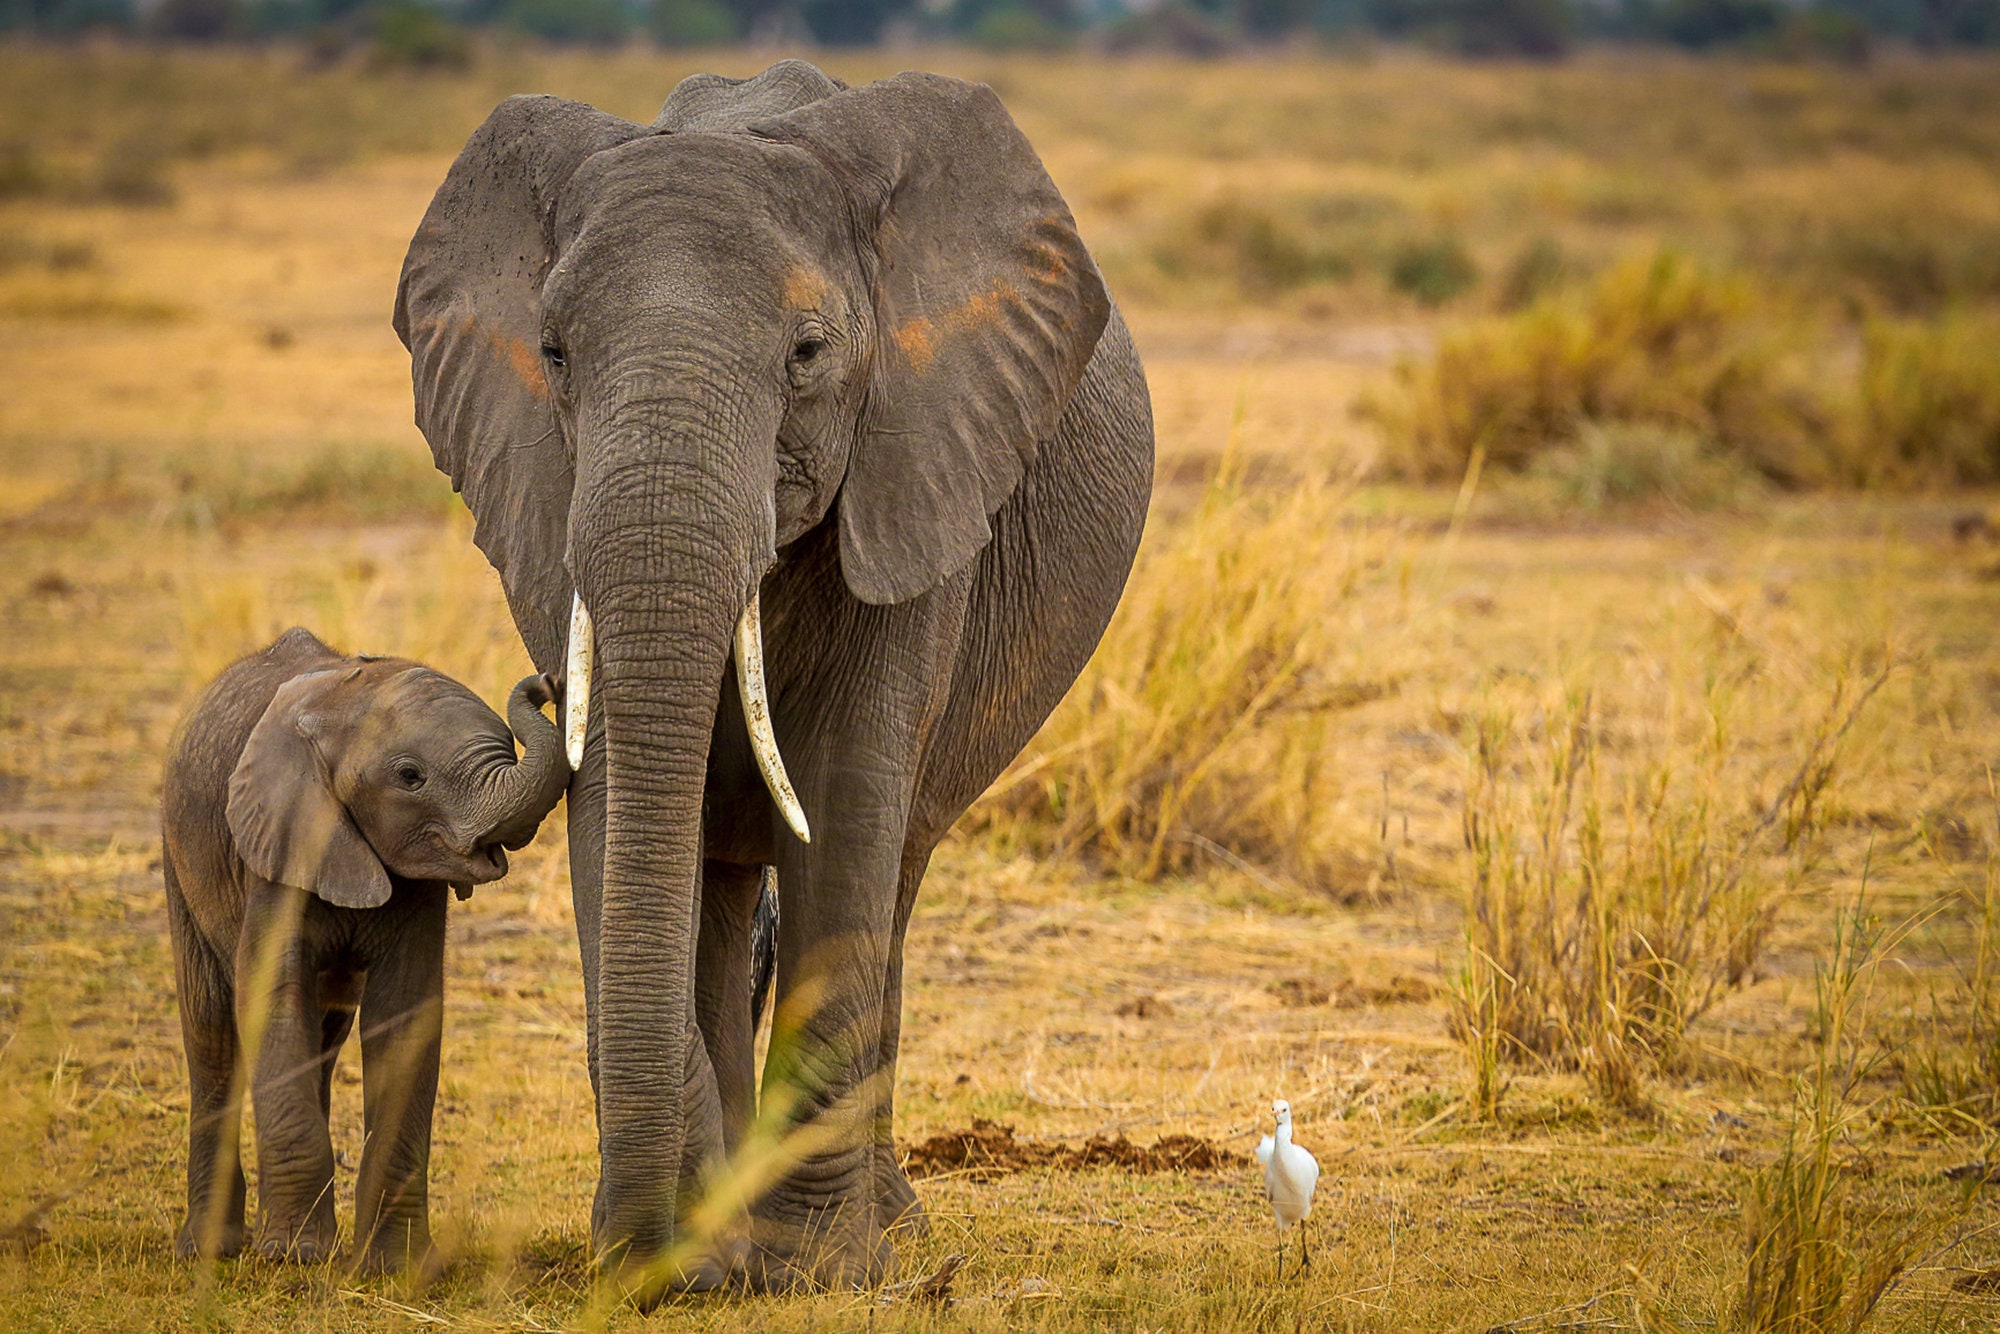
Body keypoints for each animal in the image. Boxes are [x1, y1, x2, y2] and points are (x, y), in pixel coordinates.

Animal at [161, 627, 568, 1271]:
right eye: (410, 776)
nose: (547, 682)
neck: (341, 708)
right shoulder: (279, 844)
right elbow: (271, 996)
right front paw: (295, 1259)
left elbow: (405, 1013)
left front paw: (393, 1267)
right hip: (180, 854)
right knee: (212, 1034)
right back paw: (210, 1250)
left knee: (322, 1037)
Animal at [395, 59, 1153, 1292]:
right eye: (551, 353)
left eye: (806, 355)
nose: (532, 696)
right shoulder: (542, 489)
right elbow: (622, 803)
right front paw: (702, 1254)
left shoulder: (913, 472)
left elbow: (844, 802)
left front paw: (817, 1268)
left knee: (890, 873)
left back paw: (887, 1232)